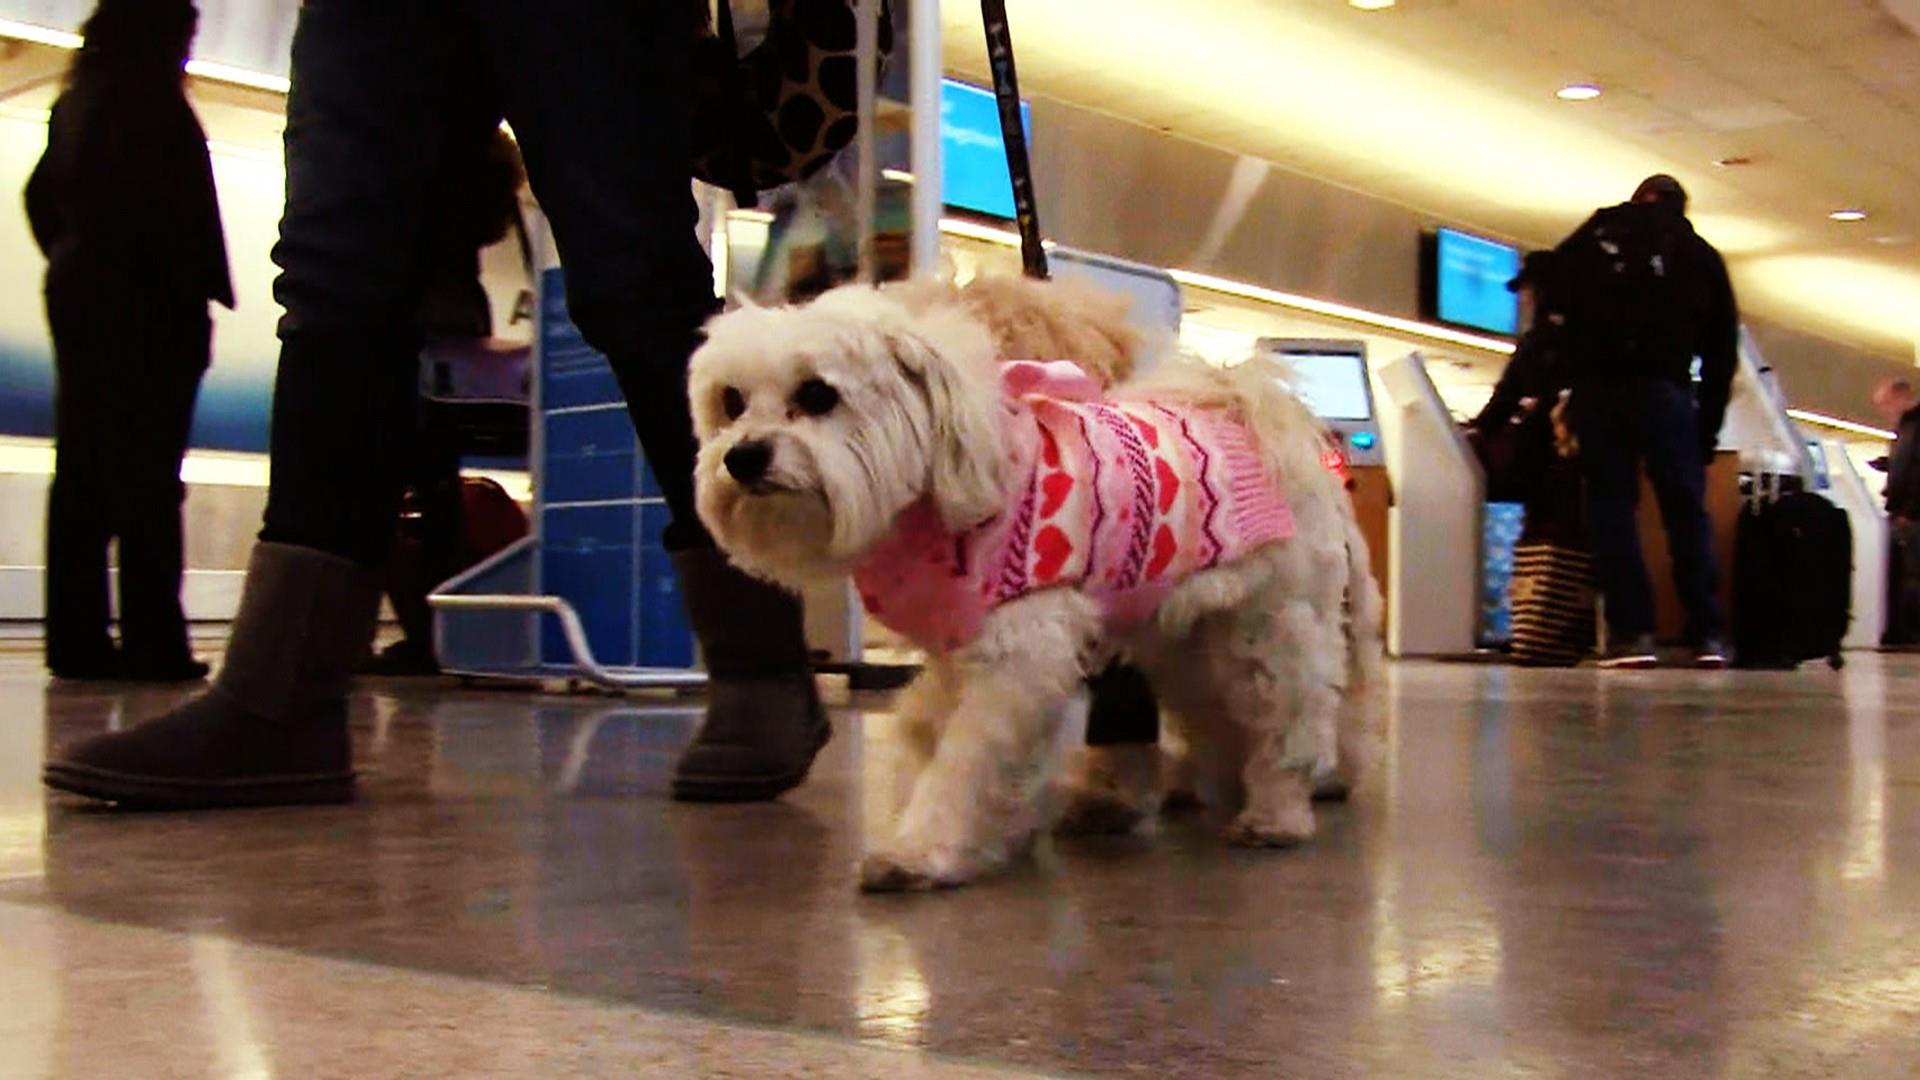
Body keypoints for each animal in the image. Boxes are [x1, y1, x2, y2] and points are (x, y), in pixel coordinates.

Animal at [691, 282, 1382, 887]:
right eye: (732, 401)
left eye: (817, 394)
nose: (742, 456)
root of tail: (1247, 404)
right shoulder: (958, 656)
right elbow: (936, 737)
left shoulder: (1017, 660)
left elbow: (965, 761)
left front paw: (923, 851)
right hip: (1190, 644)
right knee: (1220, 723)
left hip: (1271, 631)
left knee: (1289, 724)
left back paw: (1276, 814)